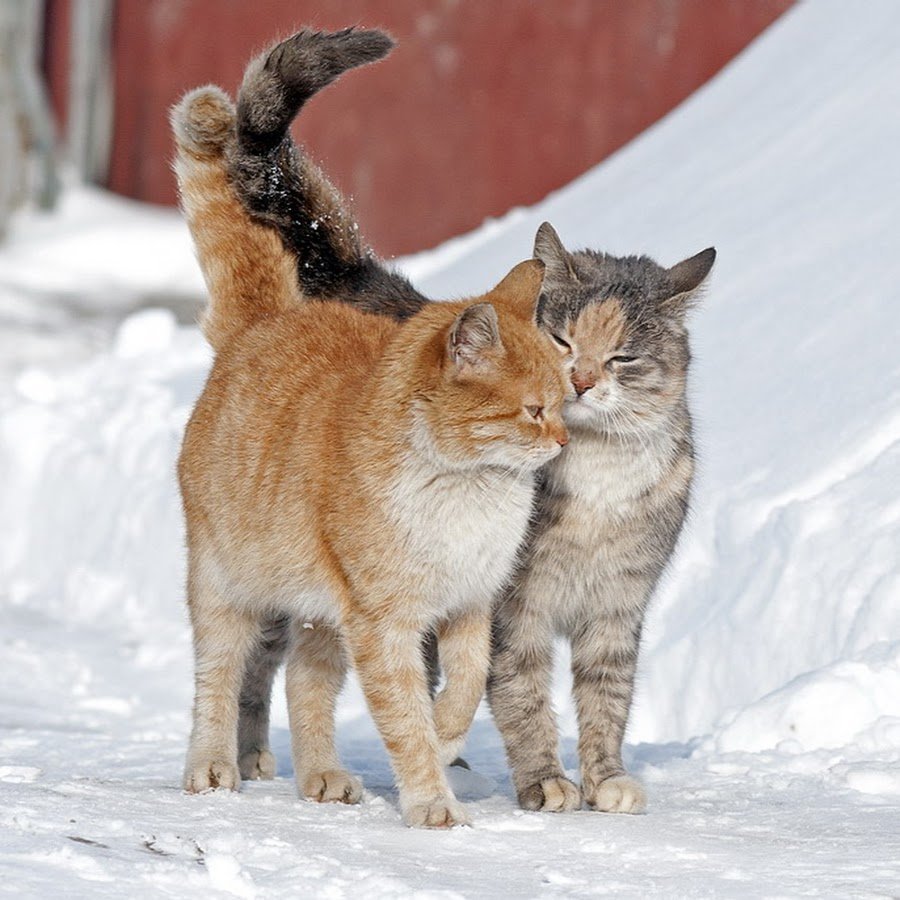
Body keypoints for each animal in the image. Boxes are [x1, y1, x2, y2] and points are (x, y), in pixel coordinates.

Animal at [174, 88, 568, 828]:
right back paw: (210, 767)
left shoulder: (468, 606)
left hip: (319, 613)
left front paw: (447, 740)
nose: (563, 441)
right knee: (218, 675)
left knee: (305, 682)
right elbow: (403, 716)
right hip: (226, 588)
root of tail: (265, 321)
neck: (467, 490)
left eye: (567, 399)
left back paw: (323, 777)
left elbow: (463, 687)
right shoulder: (384, 623)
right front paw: (433, 801)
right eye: (534, 409)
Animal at [214, 28, 712, 804]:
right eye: (561, 339)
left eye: (624, 356)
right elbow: (520, 693)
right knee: (258, 659)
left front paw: (606, 779)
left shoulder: (617, 606)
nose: (581, 380)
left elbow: (607, 697)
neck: (595, 474)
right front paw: (546, 783)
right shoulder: (512, 607)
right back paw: (252, 755)